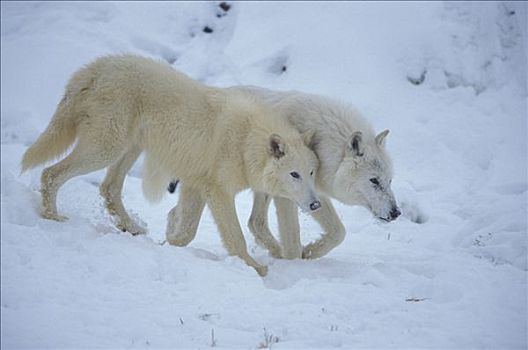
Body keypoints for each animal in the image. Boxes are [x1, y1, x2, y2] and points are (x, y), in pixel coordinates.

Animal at [20, 55, 320, 276]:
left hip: (129, 149)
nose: (316, 204)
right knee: (50, 173)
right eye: (294, 174)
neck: (246, 141)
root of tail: (92, 68)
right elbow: (235, 237)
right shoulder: (217, 191)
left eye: (311, 173)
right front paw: (256, 268)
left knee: (108, 188)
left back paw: (132, 228)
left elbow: (187, 232)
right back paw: (53, 217)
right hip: (105, 149)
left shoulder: (196, 185)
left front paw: (168, 241)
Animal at [165, 85, 400, 260]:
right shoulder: (289, 194)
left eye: (389, 181)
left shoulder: (313, 192)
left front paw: (310, 252)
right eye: (374, 181)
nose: (397, 212)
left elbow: (338, 232)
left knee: (252, 222)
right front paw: (296, 264)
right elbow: (293, 240)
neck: (323, 142)